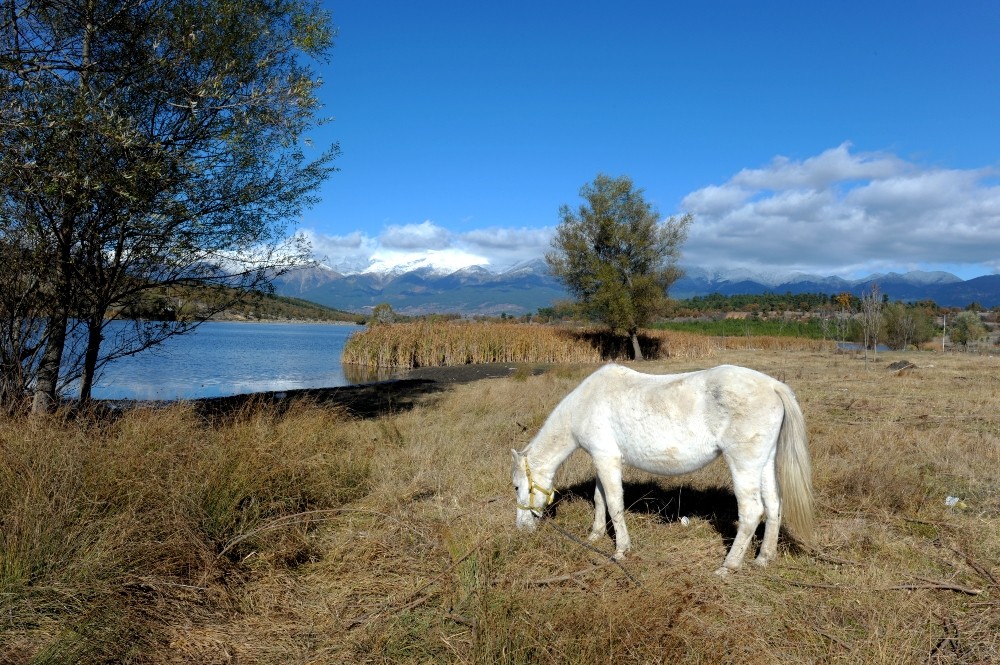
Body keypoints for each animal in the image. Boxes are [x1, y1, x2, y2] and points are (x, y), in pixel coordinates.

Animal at [512, 364, 816, 576]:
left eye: (516, 486)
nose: (521, 528)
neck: (586, 403)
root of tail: (774, 386)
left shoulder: (606, 459)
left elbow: (614, 503)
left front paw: (621, 550)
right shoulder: (602, 459)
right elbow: (600, 499)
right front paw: (595, 535)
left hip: (743, 465)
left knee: (752, 512)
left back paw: (728, 566)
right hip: (763, 463)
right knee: (774, 505)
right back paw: (763, 558)